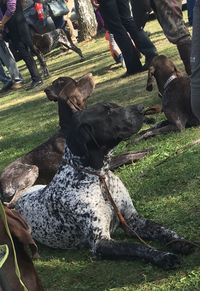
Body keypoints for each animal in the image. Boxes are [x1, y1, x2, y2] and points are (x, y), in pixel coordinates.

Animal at [14, 102, 194, 270]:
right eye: (107, 111)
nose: (141, 108)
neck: (100, 179)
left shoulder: (133, 219)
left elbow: (162, 229)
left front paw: (179, 241)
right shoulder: (100, 242)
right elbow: (137, 247)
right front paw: (164, 257)